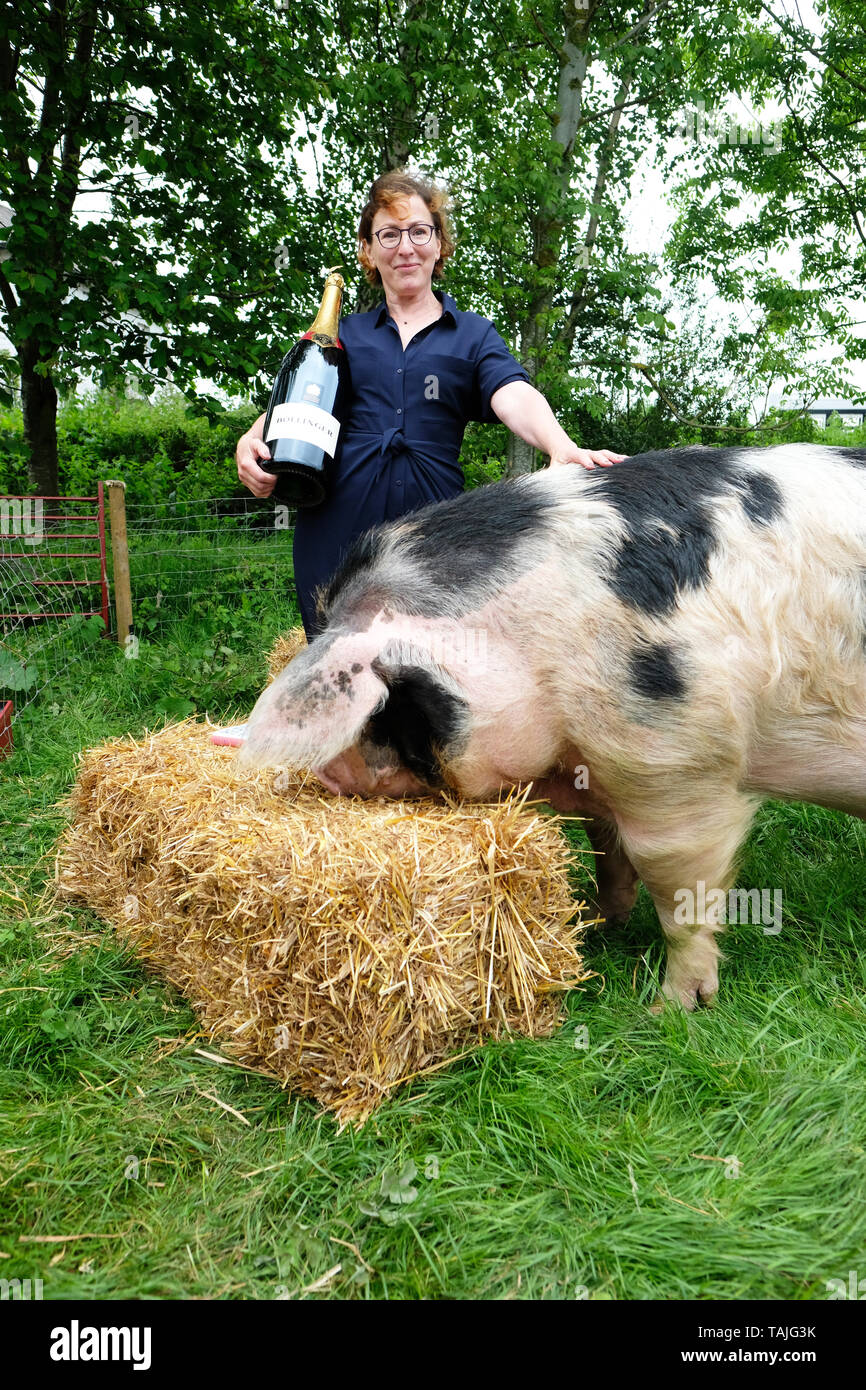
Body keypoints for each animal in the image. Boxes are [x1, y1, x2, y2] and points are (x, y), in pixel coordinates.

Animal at [238, 444, 866, 1009]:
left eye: (384, 710)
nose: (327, 774)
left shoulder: (674, 764)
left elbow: (678, 891)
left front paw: (673, 1007)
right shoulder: (596, 770)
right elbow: (607, 847)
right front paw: (601, 924)